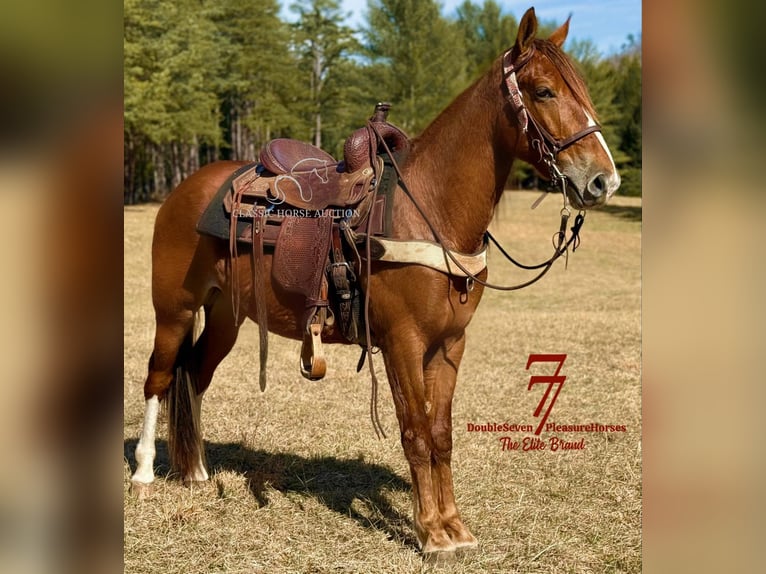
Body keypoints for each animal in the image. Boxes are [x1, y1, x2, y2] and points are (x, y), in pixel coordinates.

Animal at [130, 6, 624, 560]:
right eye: (543, 91)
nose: (604, 181)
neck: (429, 210)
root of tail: (182, 190)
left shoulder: (450, 344)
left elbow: (441, 433)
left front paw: (455, 527)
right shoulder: (402, 342)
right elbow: (415, 432)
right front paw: (431, 533)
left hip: (226, 316)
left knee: (194, 373)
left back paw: (195, 470)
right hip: (174, 307)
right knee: (159, 376)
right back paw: (145, 473)